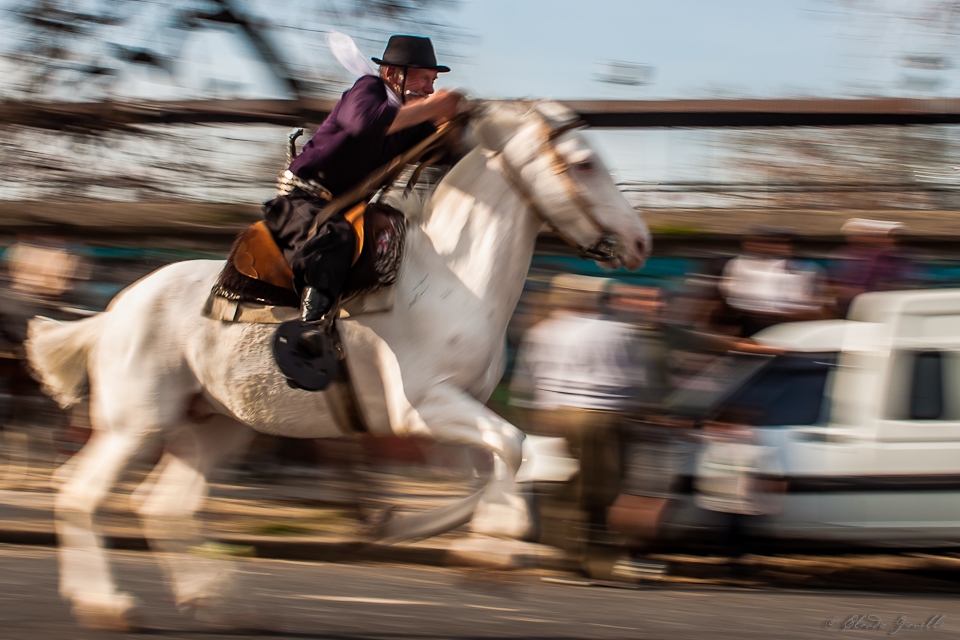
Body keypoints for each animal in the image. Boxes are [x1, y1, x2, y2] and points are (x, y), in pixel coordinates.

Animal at [26, 102, 652, 632]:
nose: (640, 240)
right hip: (136, 421)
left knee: (164, 507)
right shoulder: (422, 408)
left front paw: (421, 530)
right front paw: (490, 548)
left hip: (215, 426)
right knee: (80, 494)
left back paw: (219, 603)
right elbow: (513, 447)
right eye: (585, 162)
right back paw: (107, 604)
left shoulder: (454, 419)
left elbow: (505, 464)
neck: (454, 281)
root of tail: (115, 310)